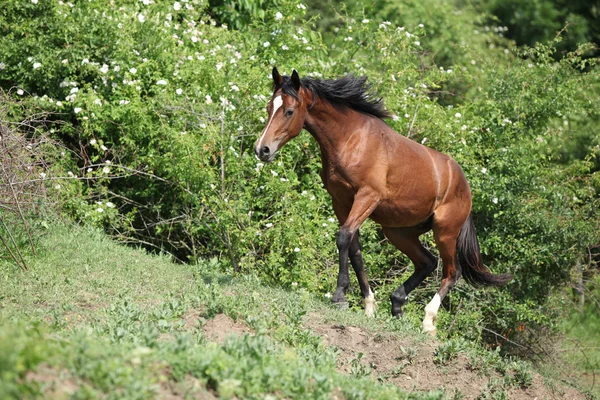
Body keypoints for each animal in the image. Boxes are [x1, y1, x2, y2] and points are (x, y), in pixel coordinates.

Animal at [253, 68, 510, 334]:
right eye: (269, 107)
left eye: (289, 111)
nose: (262, 149)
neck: (352, 139)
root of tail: (463, 184)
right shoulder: (341, 202)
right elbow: (354, 249)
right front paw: (368, 305)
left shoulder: (367, 196)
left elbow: (343, 238)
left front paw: (339, 296)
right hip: (398, 232)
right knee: (427, 262)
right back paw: (397, 305)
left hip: (445, 232)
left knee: (451, 272)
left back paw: (428, 321)